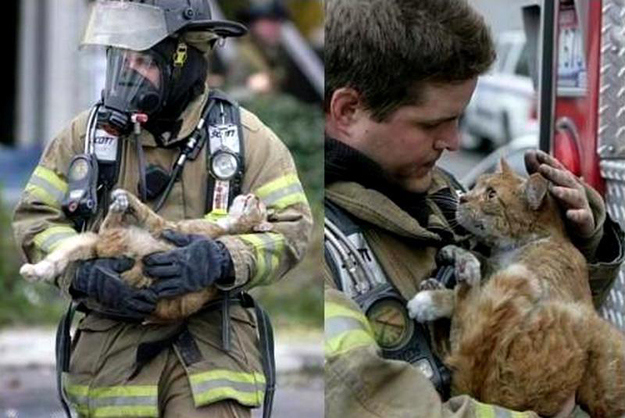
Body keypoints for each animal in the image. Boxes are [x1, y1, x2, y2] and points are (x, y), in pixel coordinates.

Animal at [20, 189, 270, 320]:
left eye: (259, 206)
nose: (255, 195)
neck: (228, 226)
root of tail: (101, 247)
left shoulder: (165, 226)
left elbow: (147, 211)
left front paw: (129, 199)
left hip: (110, 235)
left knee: (111, 222)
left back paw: (120, 203)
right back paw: (31, 271)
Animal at [408, 161, 620, 418]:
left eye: (491, 194)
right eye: (477, 185)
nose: (462, 198)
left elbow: (475, 307)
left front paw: (435, 298)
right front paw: (455, 253)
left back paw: (438, 291)